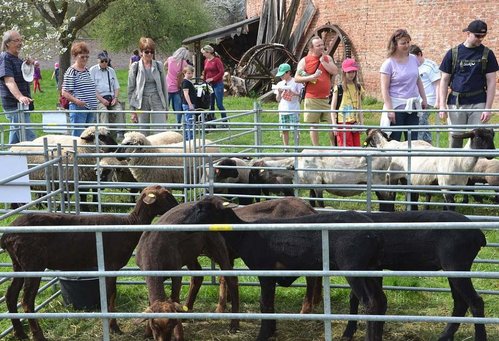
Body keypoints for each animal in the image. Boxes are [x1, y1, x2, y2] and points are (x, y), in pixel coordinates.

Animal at [178, 197, 388, 340]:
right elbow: (269, 304)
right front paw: (271, 330)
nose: (182, 227)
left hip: (353, 267)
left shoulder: (265, 271)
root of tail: (374, 234)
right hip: (370, 268)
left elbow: (265, 304)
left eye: (201, 209)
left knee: (370, 302)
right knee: (380, 300)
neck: (244, 234)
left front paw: (263, 334)